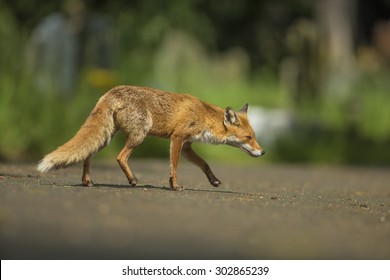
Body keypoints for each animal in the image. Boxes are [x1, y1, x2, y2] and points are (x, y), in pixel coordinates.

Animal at [37, 85, 266, 190]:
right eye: (248, 137)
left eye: (254, 136)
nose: (263, 152)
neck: (203, 115)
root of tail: (110, 92)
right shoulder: (177, 138)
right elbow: (174, 166)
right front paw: (175, 186)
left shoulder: (187, 146)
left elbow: (204, 164)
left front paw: (214, 180)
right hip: (140, 134)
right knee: (120, 157)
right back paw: (132, 180)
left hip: (106, 138)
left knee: (87, 156)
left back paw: (87, 181)